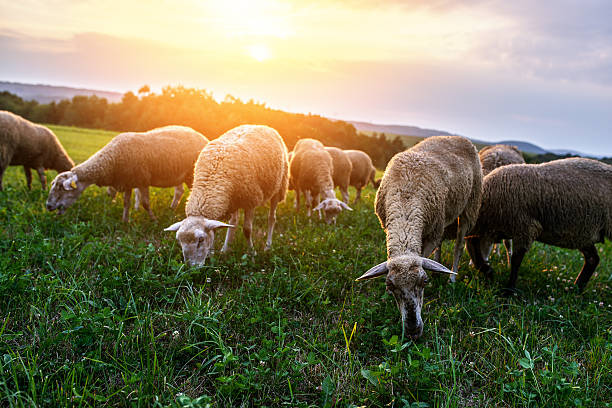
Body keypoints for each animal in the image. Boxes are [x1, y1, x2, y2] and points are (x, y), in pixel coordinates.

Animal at [46, 126, 208, 222]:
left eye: (61, 188)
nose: (48, 206)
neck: (111, 159)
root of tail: (202, 136)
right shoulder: (128, 181)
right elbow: (126, 202)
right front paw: (125, 221)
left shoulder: (142, 180)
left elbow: (145, 203)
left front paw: (153, 220)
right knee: (179, 192)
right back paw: (172, 209)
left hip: (192, 175)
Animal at [165, 123, 290, 264]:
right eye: (179, 241)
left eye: (201, 239)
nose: (191, 266)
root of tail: (261, 125)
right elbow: (218, 229)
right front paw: (213, 254)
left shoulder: (251, 200)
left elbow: (247, 230)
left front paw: (252, 255)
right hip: (234, 200)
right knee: (233, 222)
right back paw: (226, 249)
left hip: (279, 186)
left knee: (271, 218)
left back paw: (268, 246)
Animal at [354, 135, 482, 340]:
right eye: (389, 286)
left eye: (424, 281)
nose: (413, 331)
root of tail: (455, 136)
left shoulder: (431, 233)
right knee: (441, 243)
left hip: (470, 205)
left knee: (458, 245)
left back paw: (451, 278)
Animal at [464, 157, 612, 294]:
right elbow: (476, 247)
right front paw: (488, 272)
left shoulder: (525, 228)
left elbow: (515, 261)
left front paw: (509, 290)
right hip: (583, 233)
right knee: (592, 259)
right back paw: (575, 289)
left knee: (593, 259)